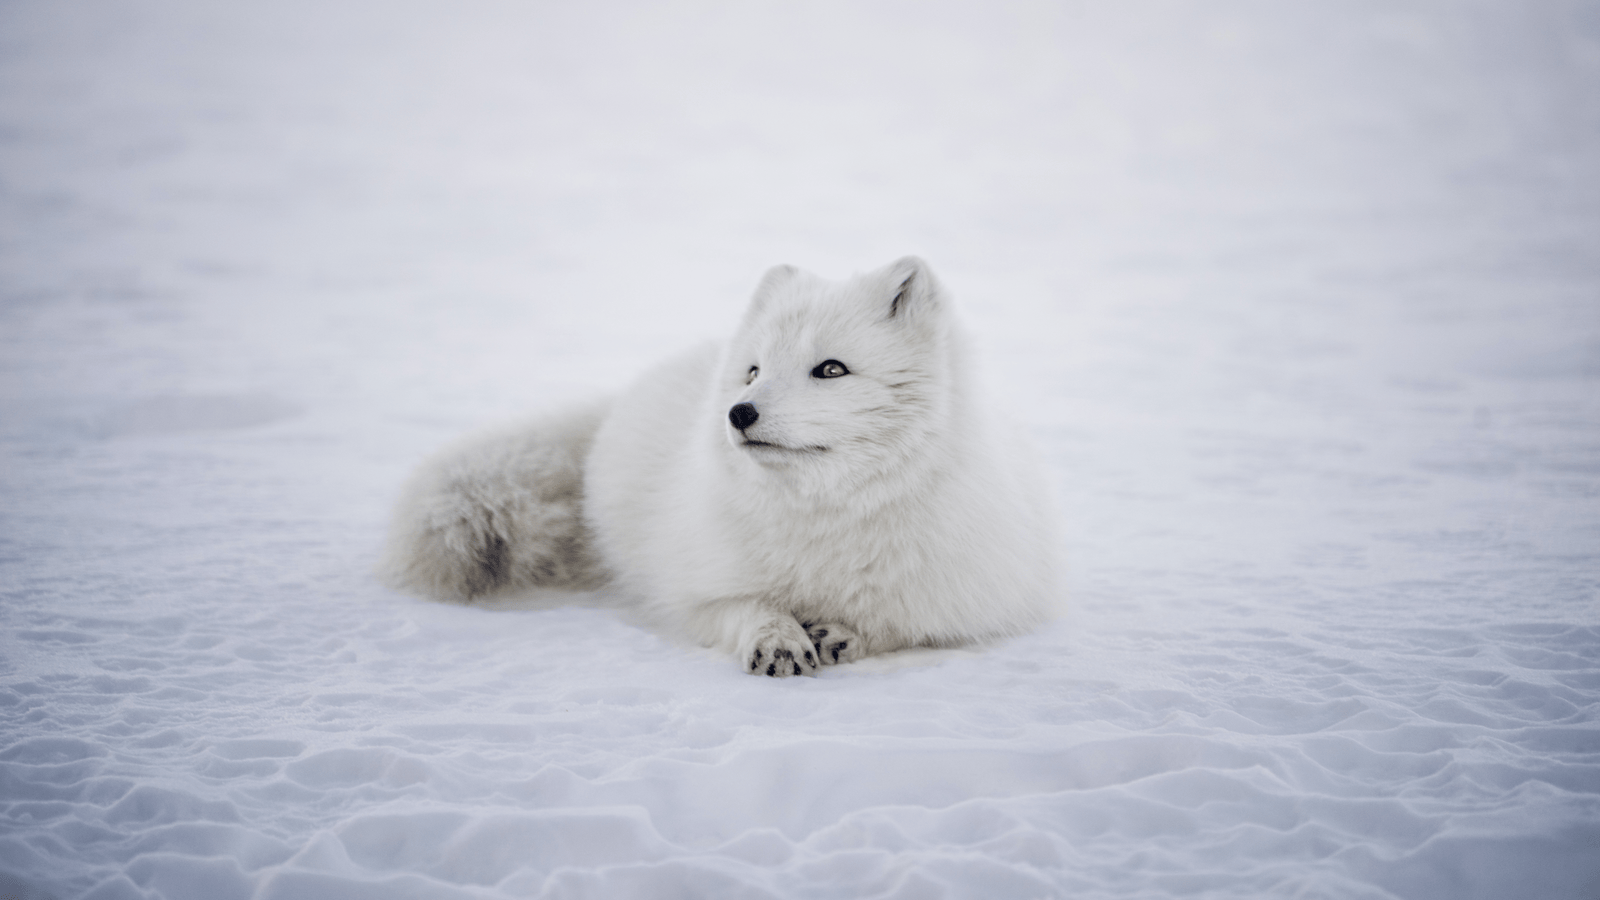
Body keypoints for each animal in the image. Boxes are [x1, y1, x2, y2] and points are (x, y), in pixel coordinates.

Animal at [383, 257, 1059, 676]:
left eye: (831, 369)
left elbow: (905, 624)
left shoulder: (975, 602)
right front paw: (777, 637)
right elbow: (744, 606)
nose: (738, 412)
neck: (826, 518)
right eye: (753, 371)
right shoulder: (693, 590)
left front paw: (844, 633)